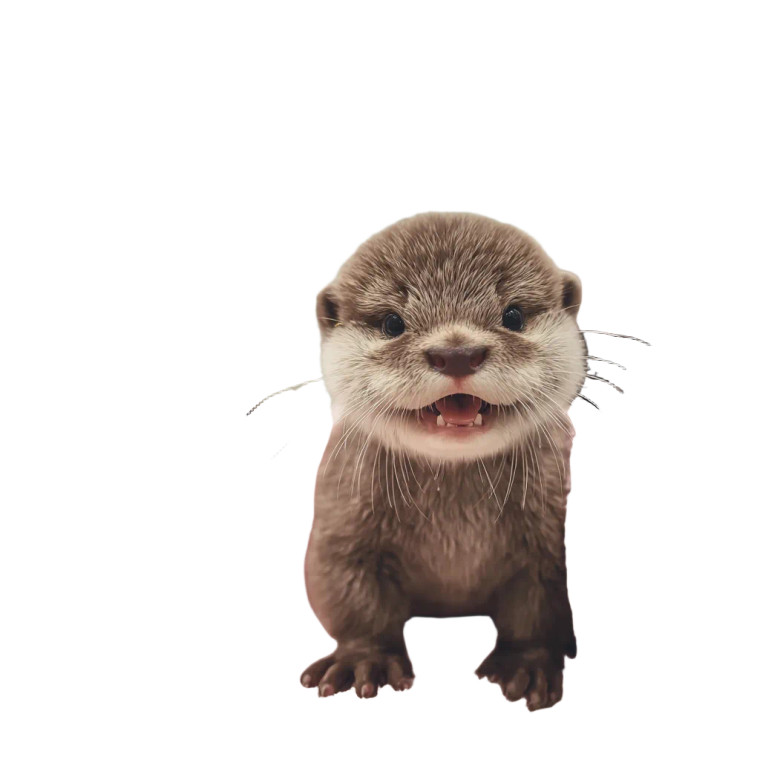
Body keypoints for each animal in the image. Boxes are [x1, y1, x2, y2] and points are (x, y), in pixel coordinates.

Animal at [301, 212, 587, 710]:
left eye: (513, 315)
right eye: (392, 322)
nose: (457, 353)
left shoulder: (543, 544)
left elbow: (535, 603)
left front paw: (527, 665)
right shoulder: (341, 527)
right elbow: (347, 593)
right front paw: (363, 659)